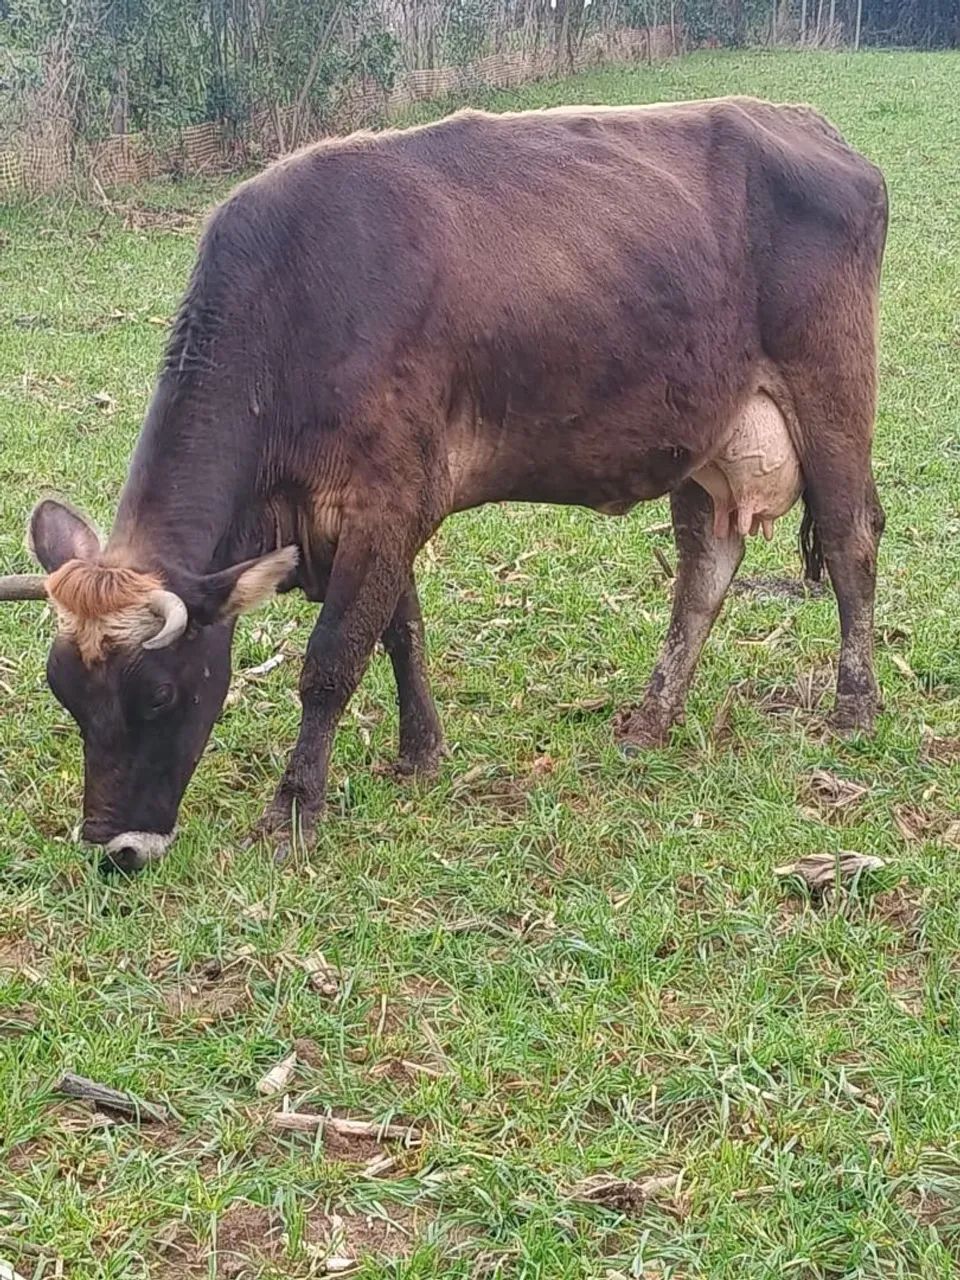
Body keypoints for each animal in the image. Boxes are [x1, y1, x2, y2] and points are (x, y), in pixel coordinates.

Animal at [0, 96, 888, 872]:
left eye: (157, 695)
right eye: (64, 695)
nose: (116, 849)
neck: (294, 315)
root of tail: (814, 128)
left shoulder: (390, 496)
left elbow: (332, 660)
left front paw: (293, 811)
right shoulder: (370, 513)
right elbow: (402, 631)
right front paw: (420, 751)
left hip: (833, 391)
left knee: (851, 543)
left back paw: (855, 704)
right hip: (707, 437)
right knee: (705, 572)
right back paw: (651, 719)